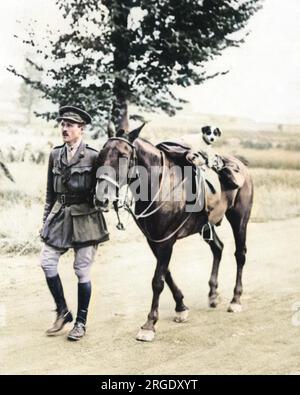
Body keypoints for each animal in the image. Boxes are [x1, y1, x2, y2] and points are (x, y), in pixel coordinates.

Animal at [95, 125, 253, 342]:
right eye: (101, 154)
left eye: (123, 155)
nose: (101, 198)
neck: (160, 185)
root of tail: (242, 167)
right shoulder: (154, 240)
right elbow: (166, 274)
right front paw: (181, 307)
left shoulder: (166, 241)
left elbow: (157, 281)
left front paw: (149, 325)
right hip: (206, 226)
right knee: (218, 248)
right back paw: (213, 294)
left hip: (240, 219)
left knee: (240, 254)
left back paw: (236, 299)